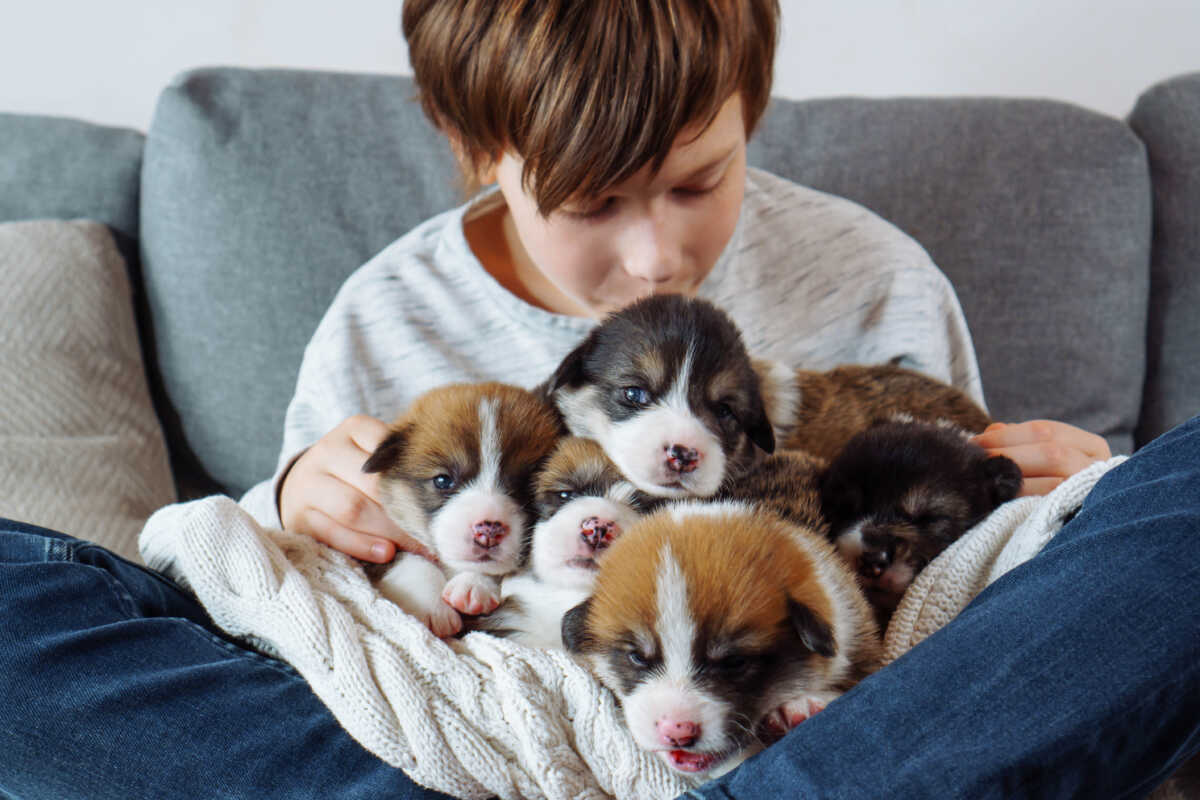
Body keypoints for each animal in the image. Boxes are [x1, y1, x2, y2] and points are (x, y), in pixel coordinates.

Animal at [360, 381, 561, 638]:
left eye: (526, 485)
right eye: (443, 480)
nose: (489, 531)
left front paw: (474, 584)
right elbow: (409, 560)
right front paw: (432, 607)